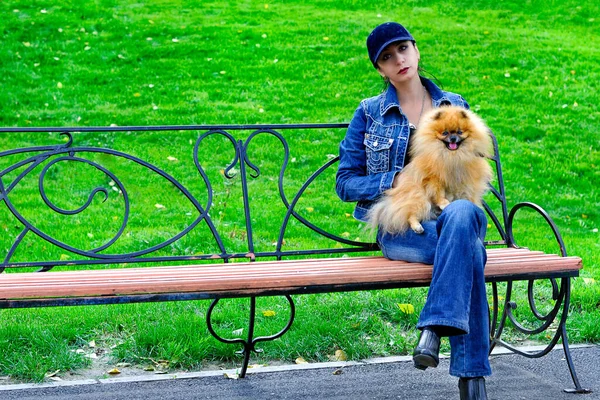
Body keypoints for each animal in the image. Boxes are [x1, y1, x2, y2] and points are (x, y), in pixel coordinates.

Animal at [370, 105, 492, 234]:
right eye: (445, 133)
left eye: (460, 132)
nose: (453, 138)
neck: (452, 156)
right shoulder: (434, 179)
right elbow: (439, 193)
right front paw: (444, 203)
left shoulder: (466, 181)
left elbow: (469, 195)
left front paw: (474, 205)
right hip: (420, 198)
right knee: (410, 214)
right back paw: (417, 226)